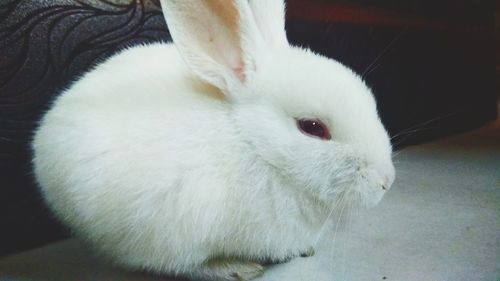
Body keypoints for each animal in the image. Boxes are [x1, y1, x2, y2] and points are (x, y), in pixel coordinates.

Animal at [33, 0, 396, 280]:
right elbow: (187, 265)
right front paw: (235, 267)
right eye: (313, 128)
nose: (386, 181)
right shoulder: (172, 234)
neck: (257, 148)